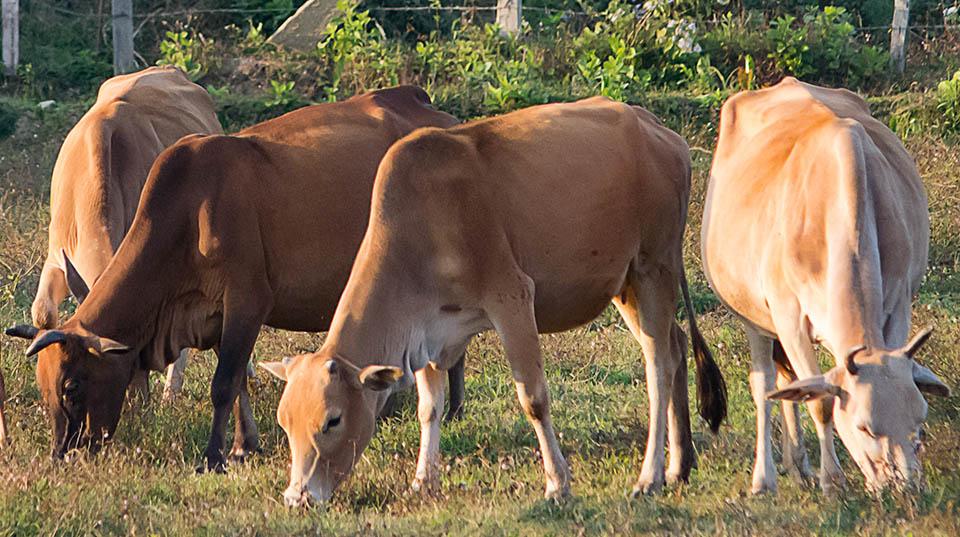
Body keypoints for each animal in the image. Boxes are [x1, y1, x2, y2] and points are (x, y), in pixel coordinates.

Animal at [258, 97, 724, 506]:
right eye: (284, 422)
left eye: (332, 420)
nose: (297, 496)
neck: (422, 228)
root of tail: (659, 130)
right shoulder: (429, 333)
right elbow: (429, 408)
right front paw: (423, 481)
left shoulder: (512, 296)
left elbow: (533, 398)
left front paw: (557, 484)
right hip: (625, 282)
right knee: (676, 346)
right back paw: (679, 466)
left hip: (653, 266)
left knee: (658, 365)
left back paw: (650, 476)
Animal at [700, 76, 948, 494]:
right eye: (865, 428)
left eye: (919, 423)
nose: (905, 488)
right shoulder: (789, 318)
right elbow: (820, 402)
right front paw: (832, 480)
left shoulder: (898, 305)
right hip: (753, 318)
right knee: (765, 385)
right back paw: (766, 476)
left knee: (789, 383)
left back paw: (798, 463)